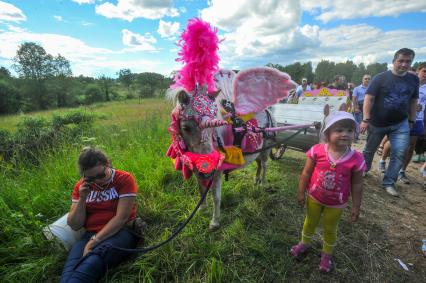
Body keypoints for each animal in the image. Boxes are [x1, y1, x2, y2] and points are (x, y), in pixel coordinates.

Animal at [166, 18, 296, 231]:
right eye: (186, 127)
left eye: (213, 127)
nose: (208, 168)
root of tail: (268, 111)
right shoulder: (197, 170)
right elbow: (201, 190)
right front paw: (201, 210)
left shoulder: (217, 173)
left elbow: (216, 197)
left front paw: (215, 221)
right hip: (256, 149)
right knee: (257, 163)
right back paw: (256, 181)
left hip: (267, 148)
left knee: (265, 165)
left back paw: (262, 183)